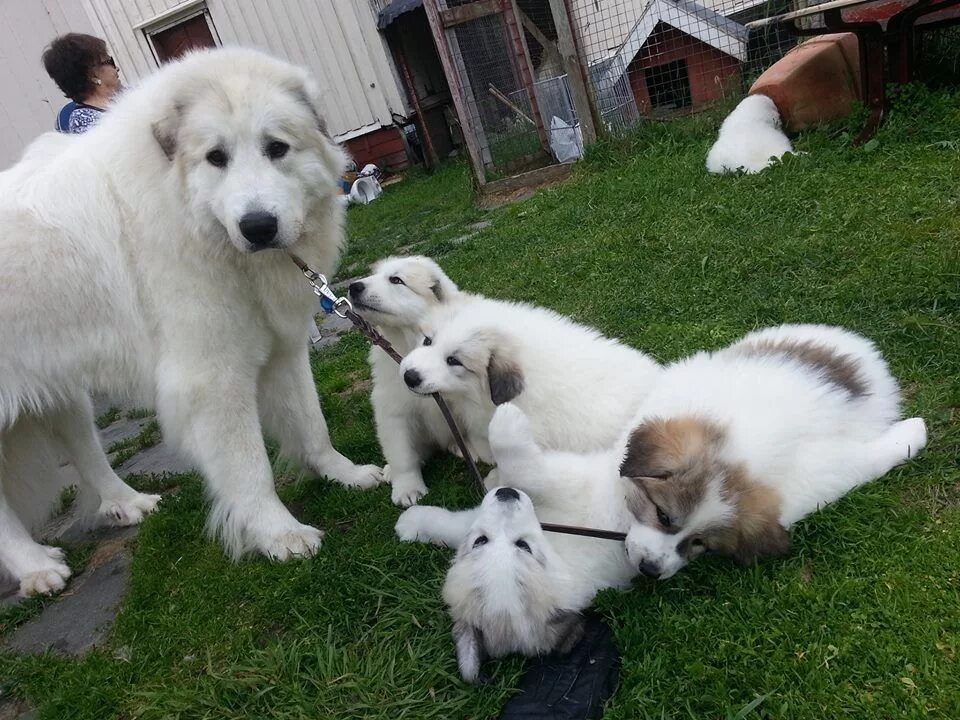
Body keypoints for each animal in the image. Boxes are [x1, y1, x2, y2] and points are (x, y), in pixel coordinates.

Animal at [0, 46, 382, 596]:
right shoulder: (213, 380)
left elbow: (313, 426)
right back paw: (34, 566)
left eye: (277, 148)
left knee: (85, 448)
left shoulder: (283, 348)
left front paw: (343, 474)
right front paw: (278, 534)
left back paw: (127, 503)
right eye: (215, 158)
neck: (187, 213)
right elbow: (249, 468)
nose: (258, 227)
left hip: (62, 389)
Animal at [350, 255, 474, 506]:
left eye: (396, 280)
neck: (407, 341)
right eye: (373, 274)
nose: (353, 286)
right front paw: (407, 490)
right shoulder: (393, 409)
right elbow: (402, 454)